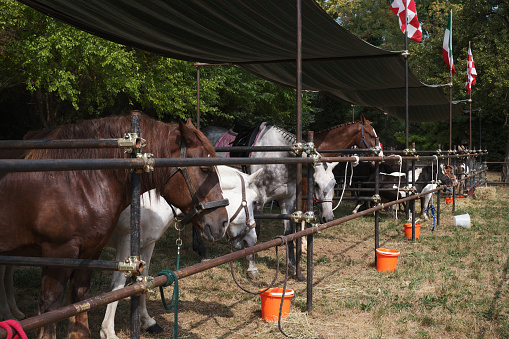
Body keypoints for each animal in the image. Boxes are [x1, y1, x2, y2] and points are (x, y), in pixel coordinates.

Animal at [0, 114, 227, 339]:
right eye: (204, 169)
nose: (222, 223)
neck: (77, 180)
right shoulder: (61, 252)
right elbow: (56, 305)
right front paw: (108, 331)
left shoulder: (106, 249)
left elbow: (89, 295)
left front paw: (147, 322)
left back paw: (12, 313)